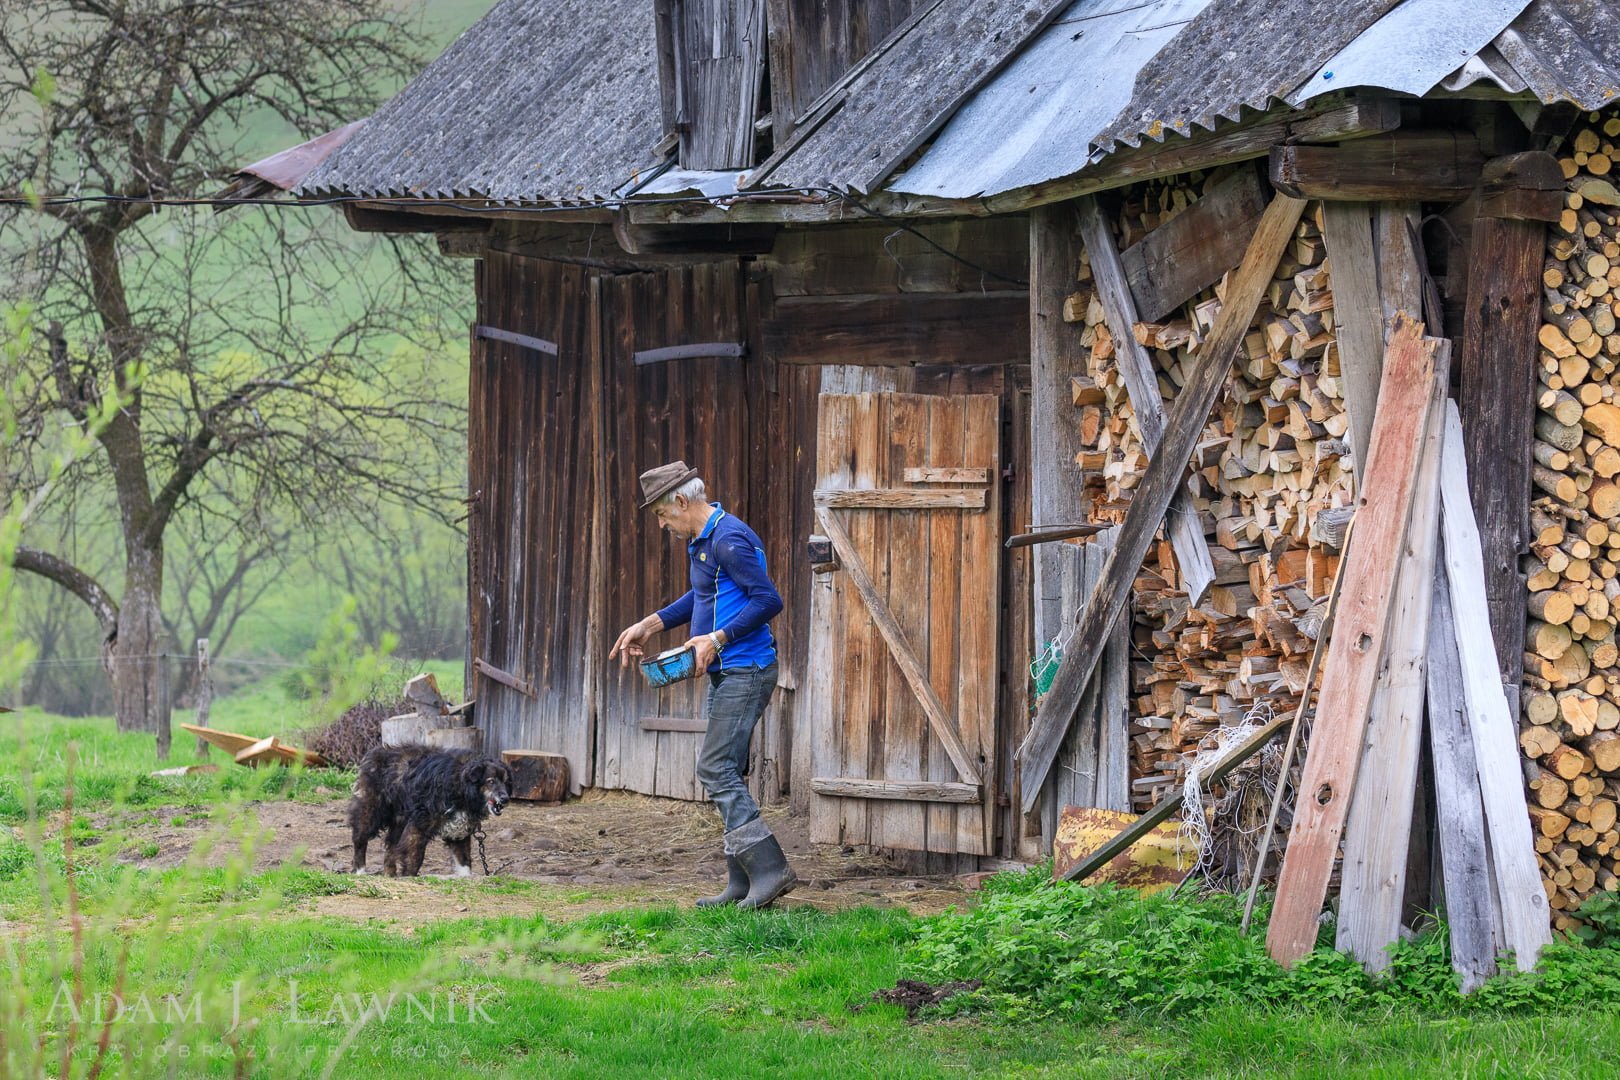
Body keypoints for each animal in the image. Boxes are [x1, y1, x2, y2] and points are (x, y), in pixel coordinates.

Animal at [349, 744, 511, 880]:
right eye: (490, 781)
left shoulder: (459, 831)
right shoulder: (418, 826)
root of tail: (375, 753)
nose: (505, 799)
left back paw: (390, 876)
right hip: (370, 812)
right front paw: (409, 877)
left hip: (400, 822)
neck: (460, 785)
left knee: (390, 849)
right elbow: (415, 857)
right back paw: (360, 871)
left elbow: (464, 862)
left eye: (505, 782)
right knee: (360, 840)